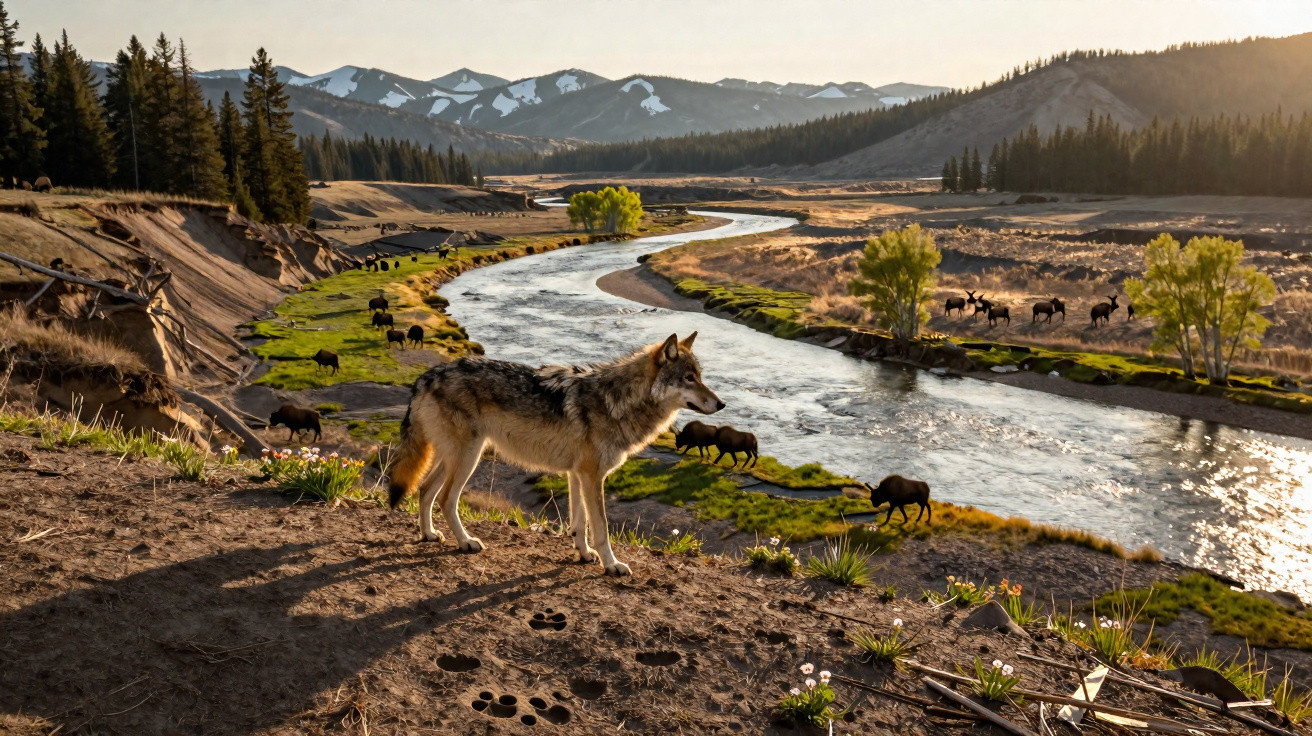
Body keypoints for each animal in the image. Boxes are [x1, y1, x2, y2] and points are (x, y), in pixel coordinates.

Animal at [387, 332, 723, 575]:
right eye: (689, 378)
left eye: (700, 376)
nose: (721, 404)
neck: (617, 402)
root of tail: (427, 376)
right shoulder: (592, 476)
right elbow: (600, 527)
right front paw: (612, 565)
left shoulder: (577, 474)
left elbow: (579, 523)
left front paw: (584, 554)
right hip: (468, 457)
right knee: (445, 499)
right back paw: (466, 542)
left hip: (454, 457)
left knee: (424, 490)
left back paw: (430, 534)